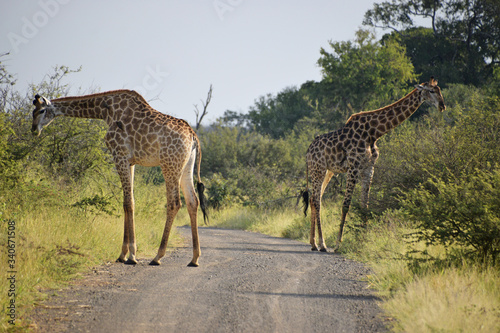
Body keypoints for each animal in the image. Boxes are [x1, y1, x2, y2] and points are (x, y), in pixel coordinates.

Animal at [31, 89, 208, 266]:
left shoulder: (119, 155)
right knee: (193, 201)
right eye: (33, 111)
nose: (34, 130)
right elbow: (128, 202)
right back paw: (195, 258)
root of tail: (193, 137)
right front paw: (123, 254)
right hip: (186, 165)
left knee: (174, 203)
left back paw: (158, 256)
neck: (105, 111)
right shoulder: (130, 161)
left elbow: (128, 202)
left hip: (169, 164)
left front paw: (131, 255)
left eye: (41, 110)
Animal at [302, 77, 448, 252]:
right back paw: (322, 244)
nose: (442, 106)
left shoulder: (369, 168)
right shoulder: (354, 167)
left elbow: (365, 205)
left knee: (314, 199)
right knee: (316, 200)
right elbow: (346, 204)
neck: (374, 133)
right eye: (431, 91)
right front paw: (338, 244)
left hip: (327, 171)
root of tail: (308, 151)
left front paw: (363, 240)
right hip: (318, 169)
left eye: (440, 90)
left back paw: (313, 243)